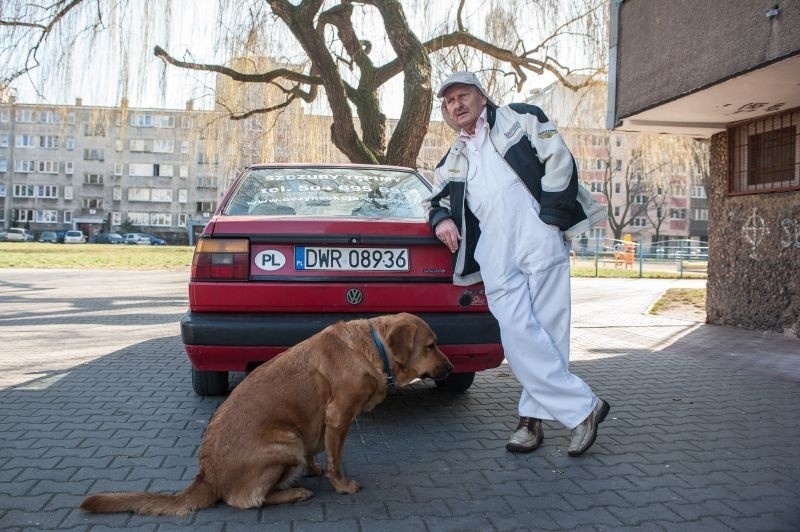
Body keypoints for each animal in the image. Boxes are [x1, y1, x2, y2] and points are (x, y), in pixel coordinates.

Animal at [83, 312, 456, 516]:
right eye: (431, 345)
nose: (452, 369)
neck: (372, 347)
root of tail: (206, 477)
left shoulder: (317, 425)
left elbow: (317, 452)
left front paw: (316, 469)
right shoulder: (338, 417)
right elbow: (336, 460)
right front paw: (341, 484)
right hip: (284, 442)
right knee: (247, 501)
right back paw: (293, 492)